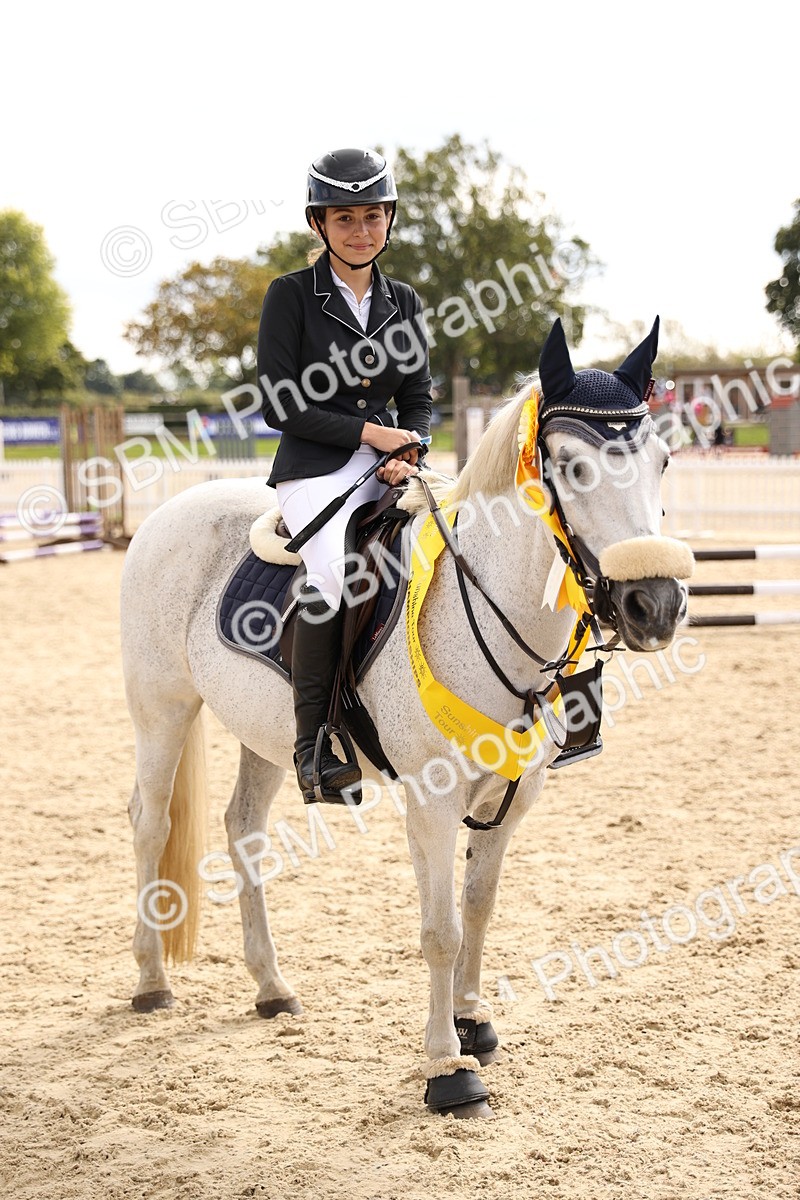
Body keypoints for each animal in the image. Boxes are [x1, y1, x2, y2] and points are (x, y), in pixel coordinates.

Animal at [120, 317, 693, 1118]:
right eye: (572, 467)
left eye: (663, 460)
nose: (657, 605)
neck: (485, 608)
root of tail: (170, 512)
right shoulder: (432, 802)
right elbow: (440, 929)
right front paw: (448, 1068)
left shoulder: (516, 796)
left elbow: (479, 907)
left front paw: (474, 1020)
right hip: (162, 710)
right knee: (150, 823)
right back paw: (151, 981)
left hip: (265, 734)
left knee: (243, 830)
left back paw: (271, 987)